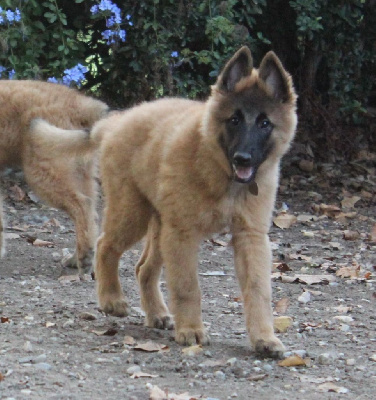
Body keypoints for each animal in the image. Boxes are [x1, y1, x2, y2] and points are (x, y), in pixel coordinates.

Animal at [0, 81, 108, 276]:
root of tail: (83, 104)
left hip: (44, 174)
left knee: (82, 206)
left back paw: (84, 258)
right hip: (81, 174)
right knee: (93, 214)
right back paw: (79, 259)